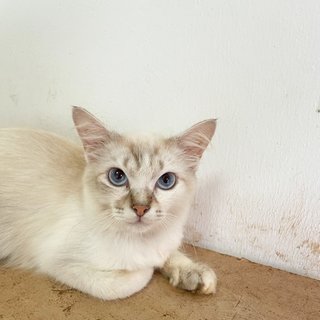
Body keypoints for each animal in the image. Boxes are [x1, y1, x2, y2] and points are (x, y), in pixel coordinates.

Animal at [0, 107, 218, 300]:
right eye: (117, 176)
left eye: (166, 181)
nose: (140, 208)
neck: (142, 241)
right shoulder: (61, 264)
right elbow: (133, 279)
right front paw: (148, 267)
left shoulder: (166, 243)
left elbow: (172, 255)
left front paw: (193, 274)